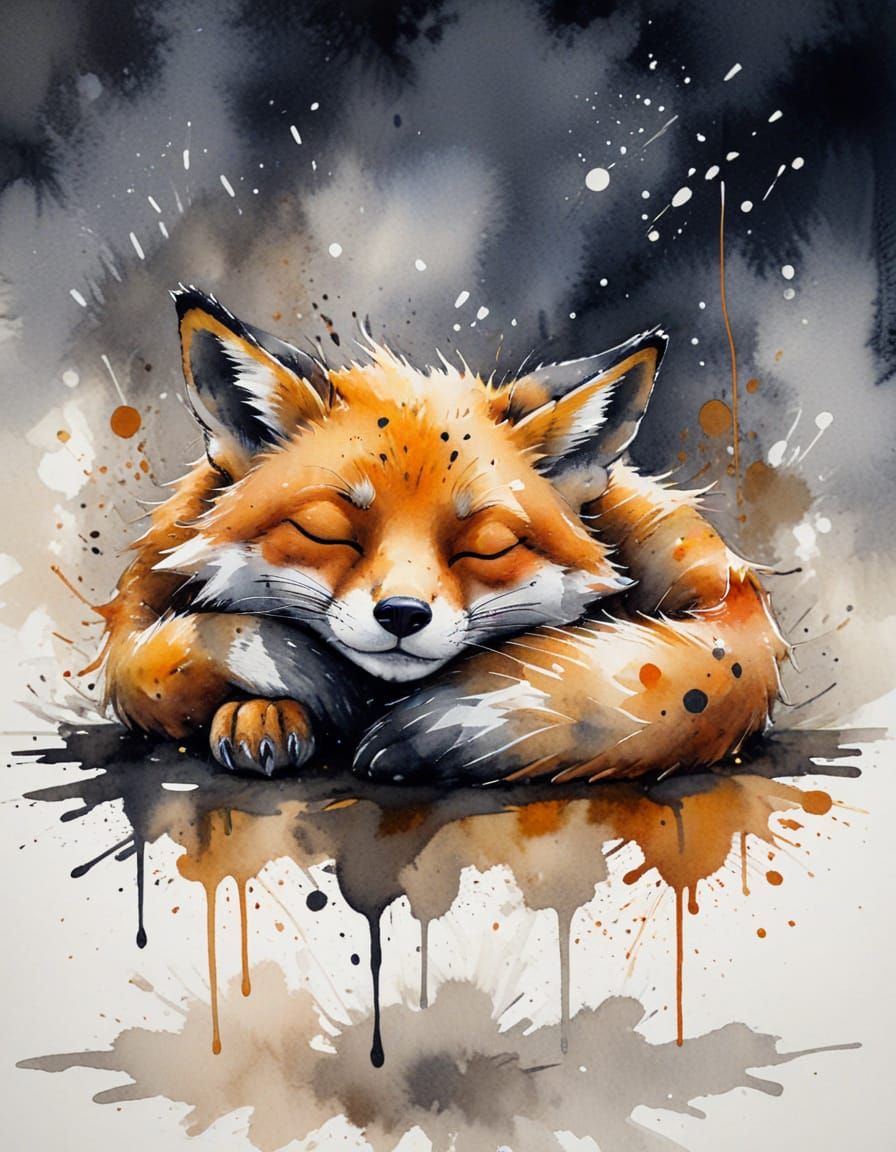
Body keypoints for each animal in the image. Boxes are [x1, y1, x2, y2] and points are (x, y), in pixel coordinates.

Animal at [97, 287, 786, 784]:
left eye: (487, 544)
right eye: (327, 533)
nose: (402, 614)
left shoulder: (723, 623)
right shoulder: (140, 611)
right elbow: (164, 661)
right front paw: (264, 707)